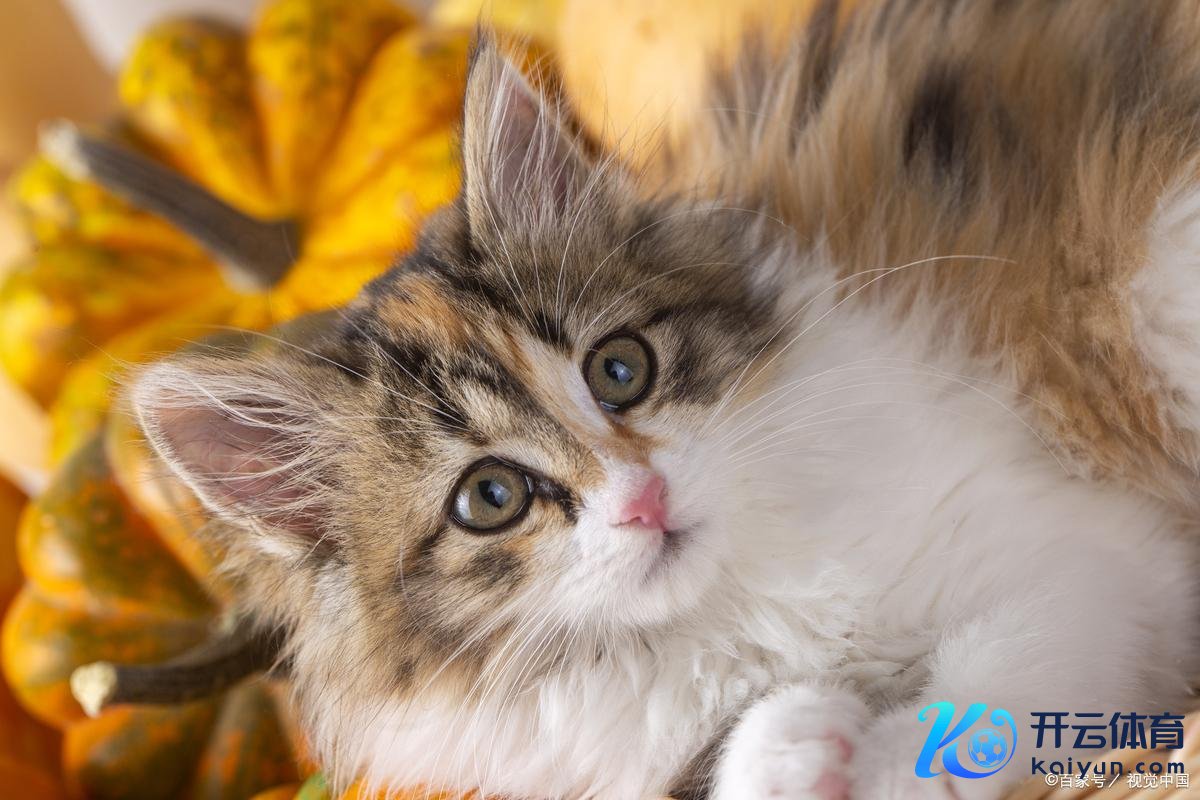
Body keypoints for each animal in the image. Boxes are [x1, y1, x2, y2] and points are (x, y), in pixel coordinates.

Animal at [131, 1, 1200, 798]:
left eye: (620, 370)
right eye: (491, 497)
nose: (642, 499)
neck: (733, 604)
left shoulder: (1087, 561)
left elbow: (990, 680)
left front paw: (896, 761)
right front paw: (785, 751)